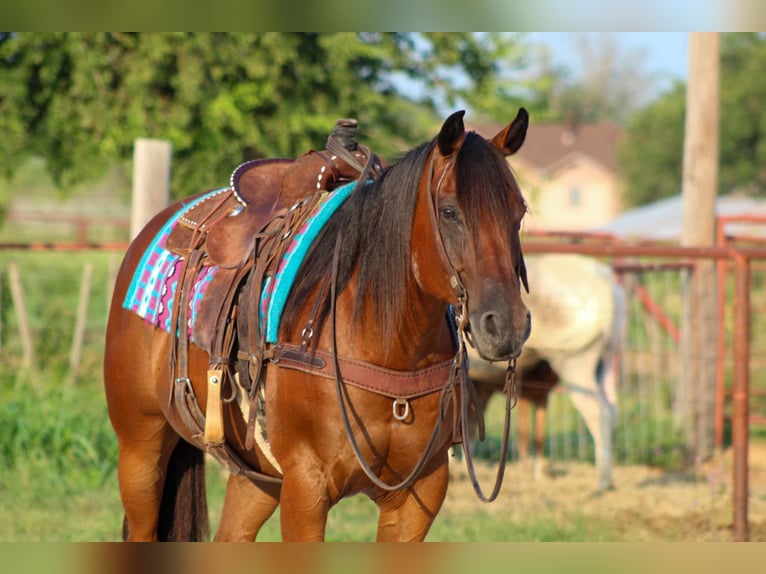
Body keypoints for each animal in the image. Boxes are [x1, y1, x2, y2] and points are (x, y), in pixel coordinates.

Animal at [103, 109, 532, 541]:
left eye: (520, 211)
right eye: (448, 211)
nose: (506, 325)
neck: (386, 344)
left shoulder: (420, 495)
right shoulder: (306, 487)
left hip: (256, 476)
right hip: (141, 450)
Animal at [467, 253, 626, 491]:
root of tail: (607, 287)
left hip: (575, 365)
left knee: (600, 413)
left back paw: (601, 484)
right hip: (603, 365)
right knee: (612, 410)